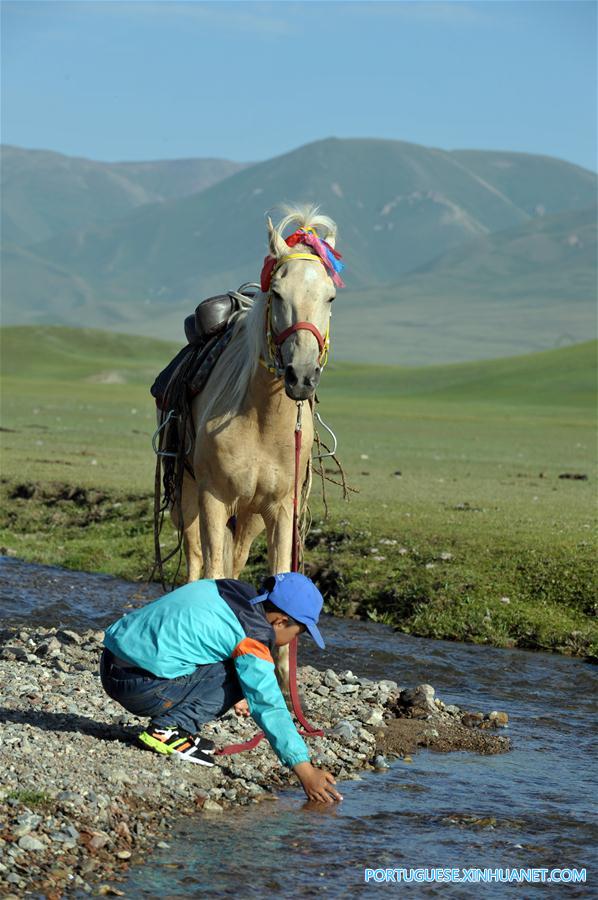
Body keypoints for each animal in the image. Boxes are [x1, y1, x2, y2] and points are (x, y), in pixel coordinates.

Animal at [176, 206, 340, 696]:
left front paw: (285, 685)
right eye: (279, 293)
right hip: (187, 494)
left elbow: (279, 574)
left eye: (329, 298)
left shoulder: (280, 509)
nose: (301, 376)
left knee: (235, 557)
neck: (262, 418)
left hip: (248, 513)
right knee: (197, 560)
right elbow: (211, 569)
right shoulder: (213, 498)